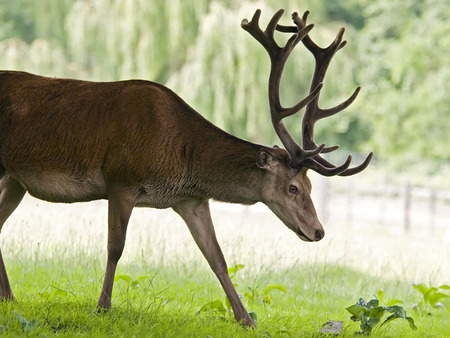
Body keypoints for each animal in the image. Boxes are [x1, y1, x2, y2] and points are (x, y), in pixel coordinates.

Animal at [0, 9, 370, 328]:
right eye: (293, 188)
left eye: (311, 187)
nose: (318, 231)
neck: (179, 159)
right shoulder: (121, 180)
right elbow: (115, 247)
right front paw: (103, 307)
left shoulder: (191, 200)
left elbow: (217, 257)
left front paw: (246, 320)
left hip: (16, 180)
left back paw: (10, 298)